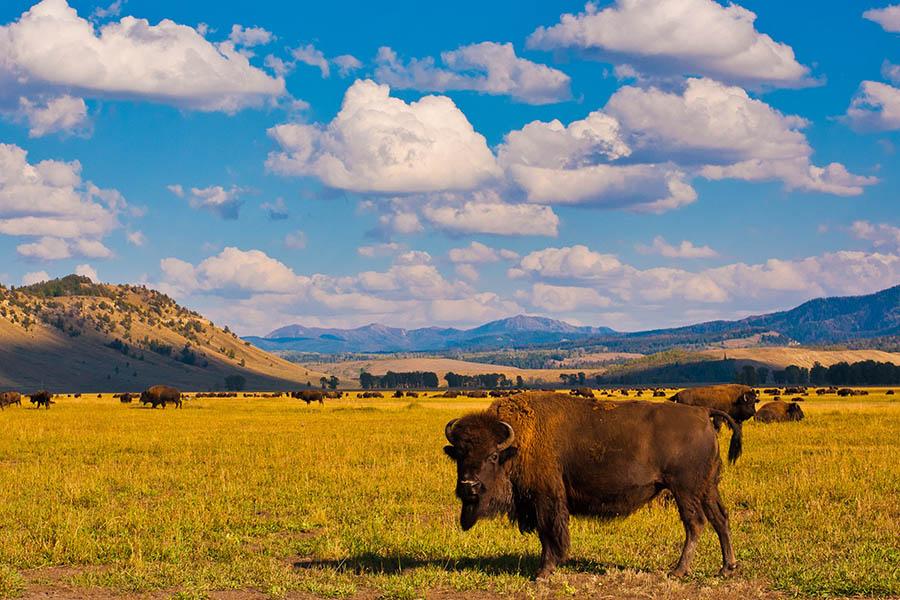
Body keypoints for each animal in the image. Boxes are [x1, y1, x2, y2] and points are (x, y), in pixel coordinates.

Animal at [444, 392, 741, 579]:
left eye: (492, 456)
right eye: (459, 454)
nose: (469, 485)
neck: (516, 444)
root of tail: (702, 413)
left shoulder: (546, 498)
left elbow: (549, 532)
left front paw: (543, 572)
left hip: (685, 490)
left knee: (695, 523)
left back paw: (678, 571)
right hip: (706, 488)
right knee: (720, 519)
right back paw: (726, 568)